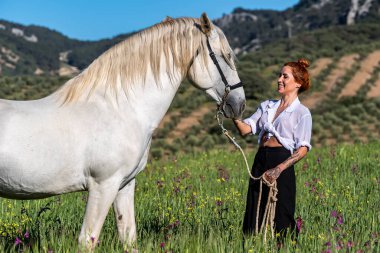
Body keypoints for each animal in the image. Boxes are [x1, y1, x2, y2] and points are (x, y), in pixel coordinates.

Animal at [0, 14, 245, 247]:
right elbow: (87, 240)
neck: (121, 109)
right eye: (226, 55)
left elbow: (128, 237)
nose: (239, 104)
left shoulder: (124, 185)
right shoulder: (103, 185)